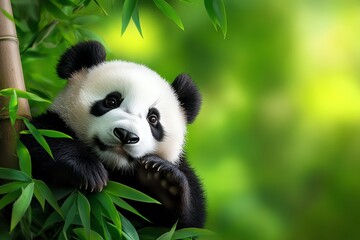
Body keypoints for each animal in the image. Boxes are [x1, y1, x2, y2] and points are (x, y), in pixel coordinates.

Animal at [20, 41, 205, 229]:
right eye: (111, 101)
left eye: (153, 119)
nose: (126, 134)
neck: (114, 166)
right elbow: (41, 140)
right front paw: (89, 171)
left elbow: (185, 224)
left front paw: (163, 182)